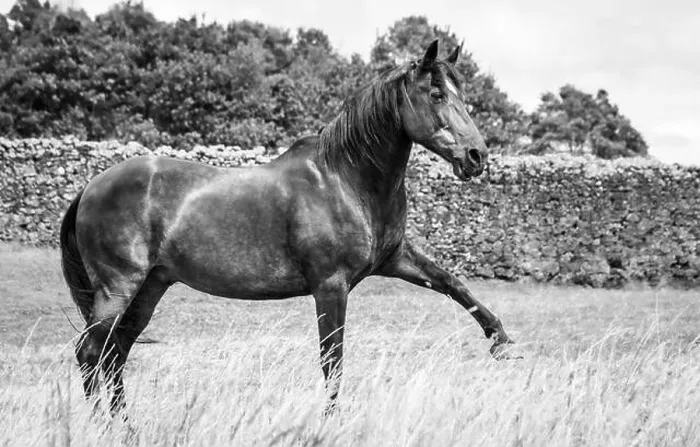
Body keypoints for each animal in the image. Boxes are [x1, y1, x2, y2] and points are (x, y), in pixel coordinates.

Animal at [60, 40, 515, 416]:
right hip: (119, 287)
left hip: (150, 288)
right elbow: (333, 362)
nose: (477, 156)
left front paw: (502, 341)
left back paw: (126, 426)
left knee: (114, 353)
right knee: (90, 352)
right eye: (436, 94)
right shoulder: (331, 286)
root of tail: (91, 187)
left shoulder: (394, 258)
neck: (344, 179)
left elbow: (452, 282)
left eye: (462, 96)